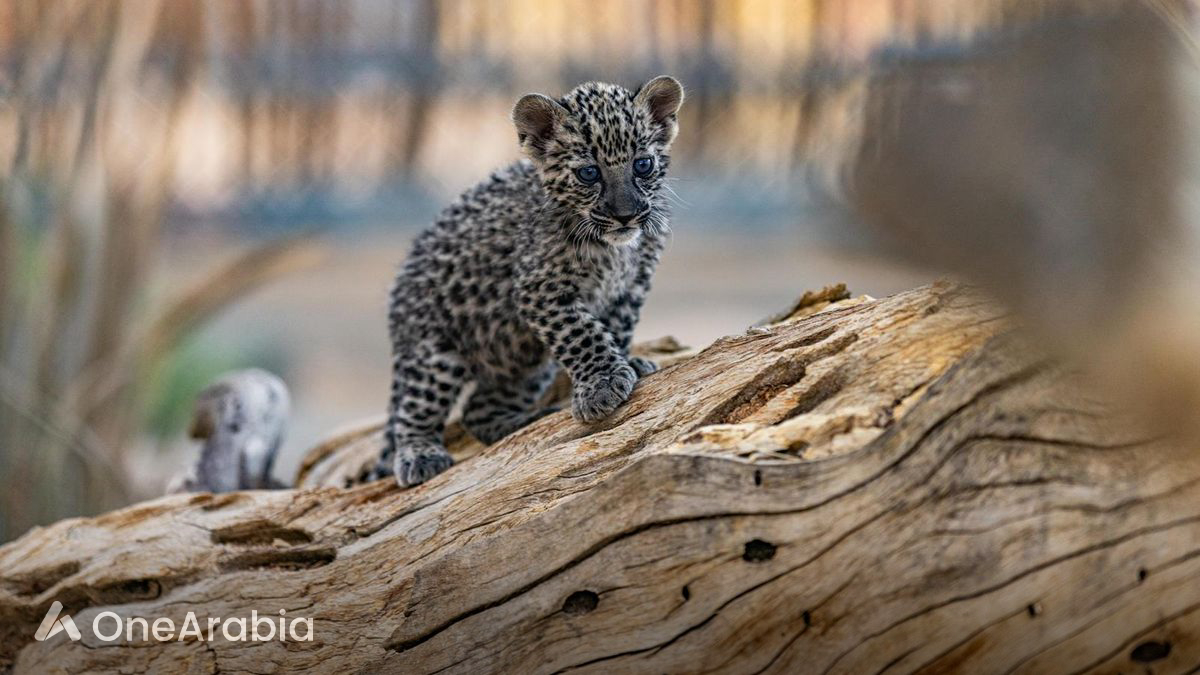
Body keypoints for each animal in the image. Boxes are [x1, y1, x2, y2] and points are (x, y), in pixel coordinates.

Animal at [374, 75, 684, 487]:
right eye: (589, 173)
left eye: (643, 165)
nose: (626, 215)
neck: (614, 249)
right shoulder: (541, 291)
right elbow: (582, 334)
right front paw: (601, 383)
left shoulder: (631, 287)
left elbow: (615, 328)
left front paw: (624, 364)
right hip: (436, 353)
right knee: (412, 412)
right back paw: (419, 454)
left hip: (527, 364)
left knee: (477, 412)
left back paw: (525, 422)